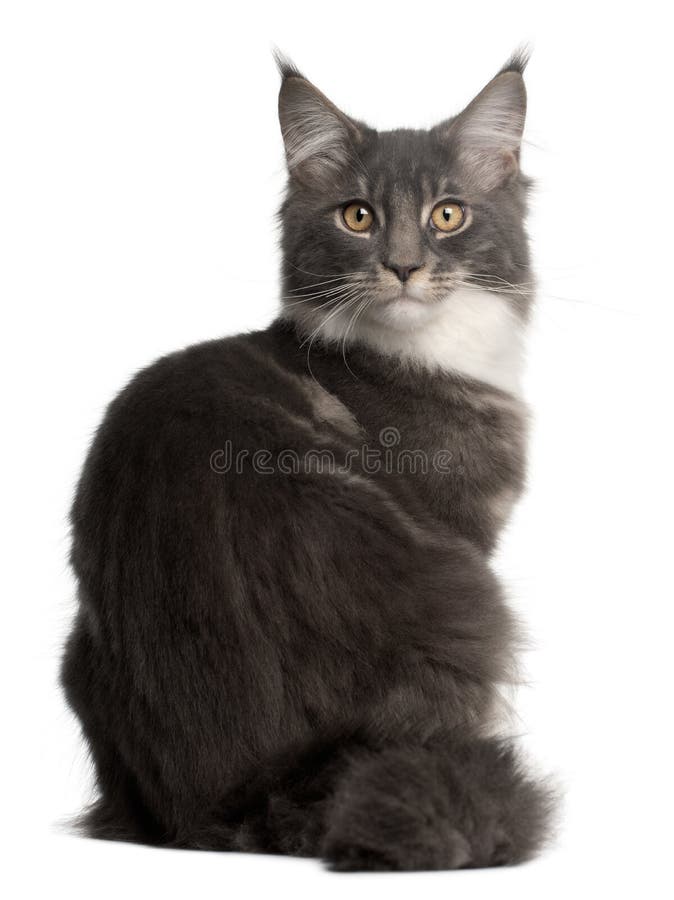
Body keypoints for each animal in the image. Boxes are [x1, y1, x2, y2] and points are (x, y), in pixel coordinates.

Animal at [60, 51, 552, 872]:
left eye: (447, 214)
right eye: (358, 217)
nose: (405, 267)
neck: (418, 358)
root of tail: (243, 790)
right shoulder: (468, 528)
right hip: (473, 602)